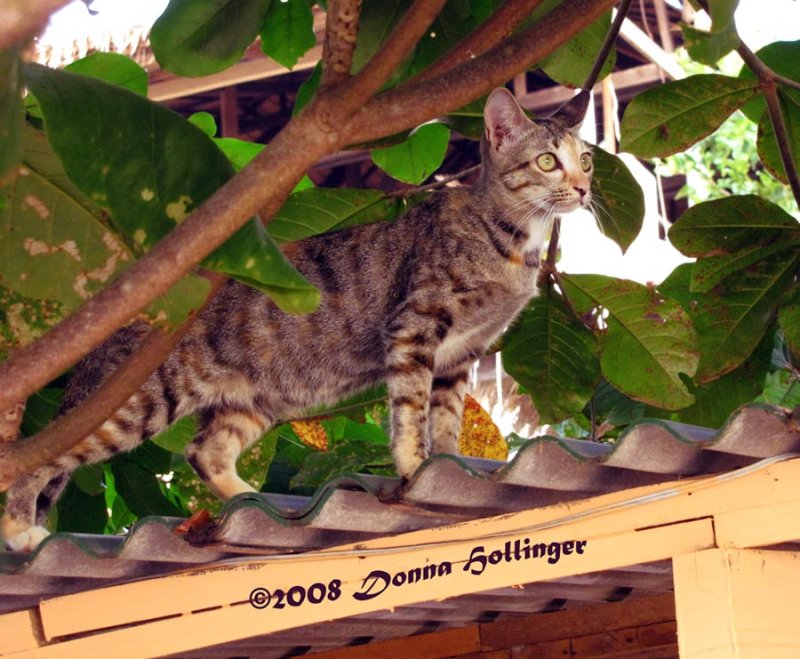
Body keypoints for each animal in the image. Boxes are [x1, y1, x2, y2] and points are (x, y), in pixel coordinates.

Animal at [1, 87, 592, 552]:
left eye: (586, 160)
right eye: (546, 162)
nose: (586, 188)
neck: (511, 242)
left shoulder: (459, 356)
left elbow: (445, 422)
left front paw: (446, 467)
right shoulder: (415, 326)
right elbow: (410, 411)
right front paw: (413, 467)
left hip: (253, 401)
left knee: (204, 451)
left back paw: (257, 503)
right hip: (135, 403)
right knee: (38, 461)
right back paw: (21, 530)